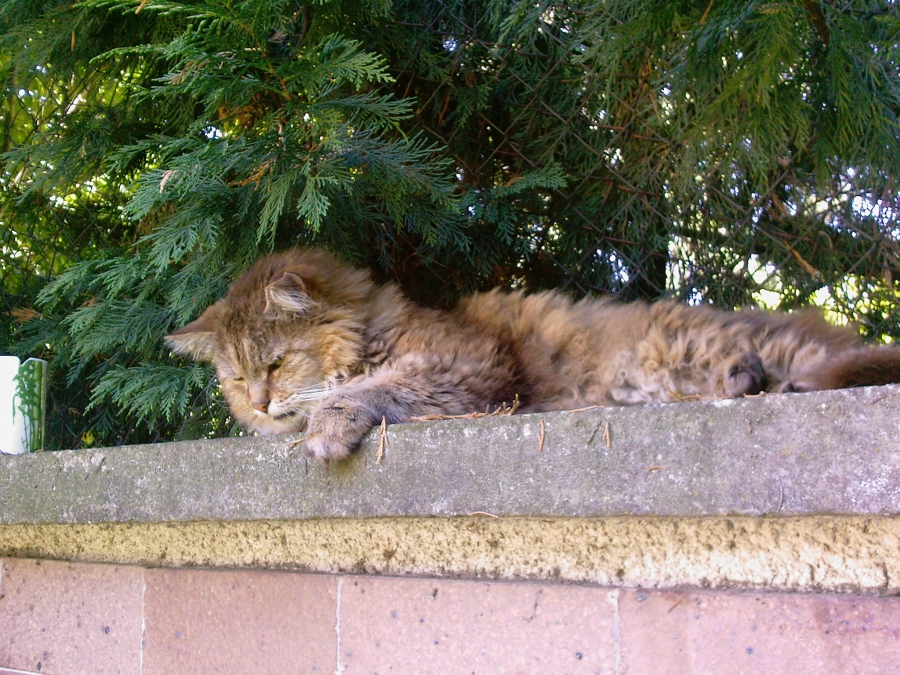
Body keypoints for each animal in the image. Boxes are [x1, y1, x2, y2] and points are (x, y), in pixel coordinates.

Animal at [166, 247, 900, 462]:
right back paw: (753, 384)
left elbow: (369, 388)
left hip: (703, 342)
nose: (260, 406)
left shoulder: (467, 366)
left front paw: (327, 425)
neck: (378, 325)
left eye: (275, 364)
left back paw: (785, 384)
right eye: (237, 379)